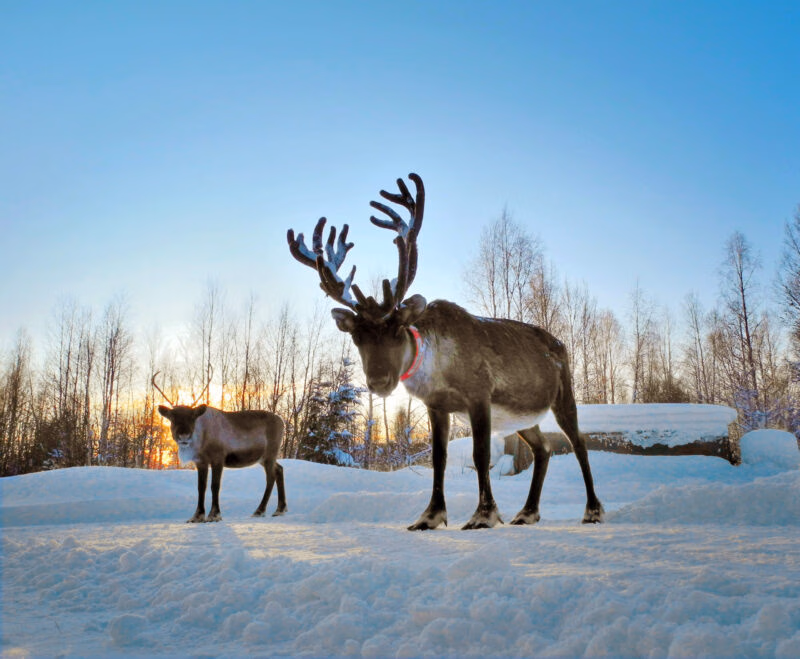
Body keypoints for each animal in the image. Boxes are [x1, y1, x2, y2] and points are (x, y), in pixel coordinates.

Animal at [152, 373, 287, 523]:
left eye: (193, 417)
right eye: (172, 417)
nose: (184, 436)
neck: (202, 437)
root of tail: (282, 421)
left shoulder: (218, 458)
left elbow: (215, 486)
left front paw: (214, 515)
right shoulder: (201, 462)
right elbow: (201, 487)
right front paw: (197, 516)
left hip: (270, 454)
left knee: (271, 477)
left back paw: (259, 511)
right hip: (264, 458)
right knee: (279, 469)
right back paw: (280, 510)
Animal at [287, 173, 603, 530]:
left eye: (398, 328)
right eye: (356, 336)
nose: (380, 381)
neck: (436, 370)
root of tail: (559, 343)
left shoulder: (479, 395)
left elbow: (481, 455)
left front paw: (484, 514)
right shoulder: (436, 406)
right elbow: (439, 458)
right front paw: (430, 516)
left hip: (563, 394)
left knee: (579, 443)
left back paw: (592, 510)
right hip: (522, 416)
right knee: (545, 448)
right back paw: (527, 512)